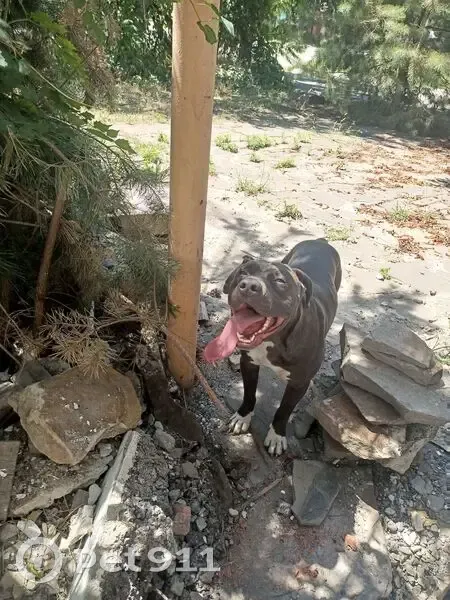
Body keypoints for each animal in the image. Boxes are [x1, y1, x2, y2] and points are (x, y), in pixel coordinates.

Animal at [204, 238, 342, 455]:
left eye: (280, 281)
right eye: (243, 272)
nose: (248, 286)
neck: (273, 341)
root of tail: (320, 241)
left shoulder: (298, 383)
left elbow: (284, 410)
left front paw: (276, 435)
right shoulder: (248, 363)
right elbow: (249, 394)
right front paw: (242, 417)